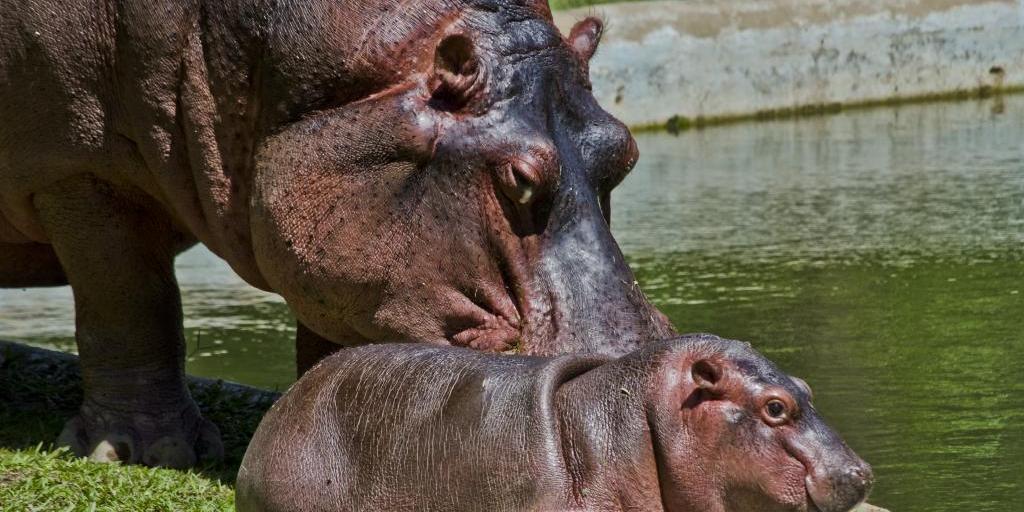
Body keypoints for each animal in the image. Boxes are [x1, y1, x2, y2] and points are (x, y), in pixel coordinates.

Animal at [0, 0, 671, 466]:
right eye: (519, 179)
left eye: (626, 151)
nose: (632, 376)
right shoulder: (78, 172)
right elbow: (130, 305)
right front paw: (144, 452)